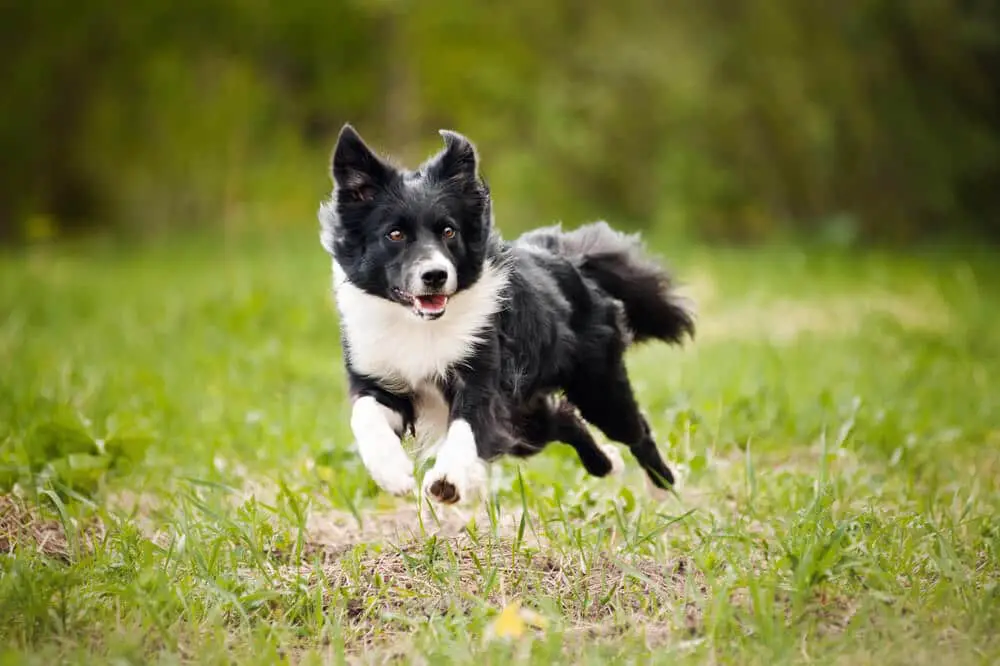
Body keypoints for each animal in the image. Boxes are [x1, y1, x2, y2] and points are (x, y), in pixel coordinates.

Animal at [320, 123, 696, 504]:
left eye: (449, 231)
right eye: (394, 234)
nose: (435, 275)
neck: (420, 325)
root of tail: (569, 258)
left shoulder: (484, 374)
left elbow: (467, 425)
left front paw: (447, 480)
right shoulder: (379, 375)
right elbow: (364, 414)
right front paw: (392, 473)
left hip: (597, 387)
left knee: (635, 429)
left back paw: (663, 485)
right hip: (526, 417)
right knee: (563, 419)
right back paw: (606, 463)